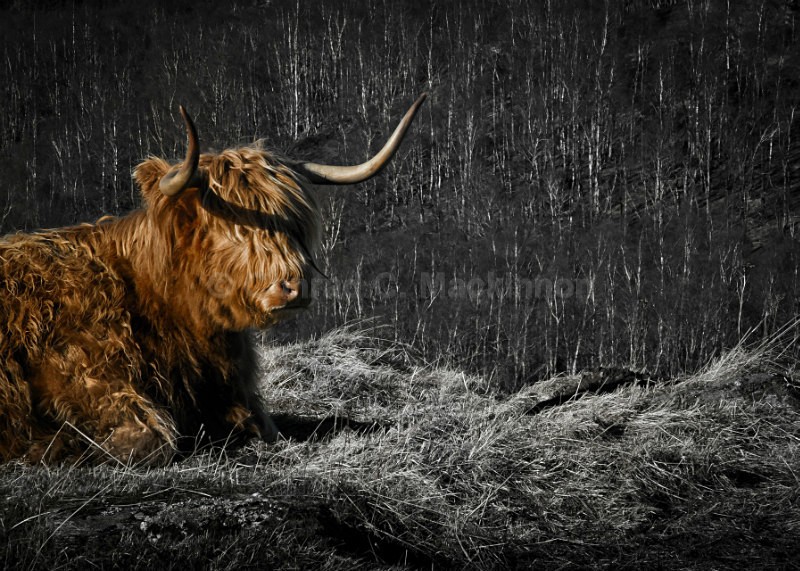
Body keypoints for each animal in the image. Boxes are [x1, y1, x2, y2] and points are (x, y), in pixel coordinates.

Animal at [0, 94, 426, 465]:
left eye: (295, 225)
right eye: (232, 225)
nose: (293, 286)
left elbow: (264, 428)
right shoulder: (85, 377)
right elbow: (148, 441)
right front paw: (50, 445)